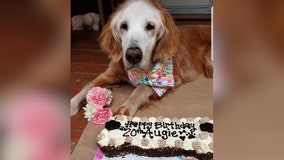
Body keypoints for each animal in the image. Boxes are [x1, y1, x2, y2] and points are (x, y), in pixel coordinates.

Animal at [71, 0, 213, 116]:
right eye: (124, 25)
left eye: (150, 26)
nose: (133, 55)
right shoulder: (110, 73)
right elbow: (88, 85)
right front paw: (72, 103)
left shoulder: (172, 79)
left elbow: (142, 87)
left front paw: (126, 105)